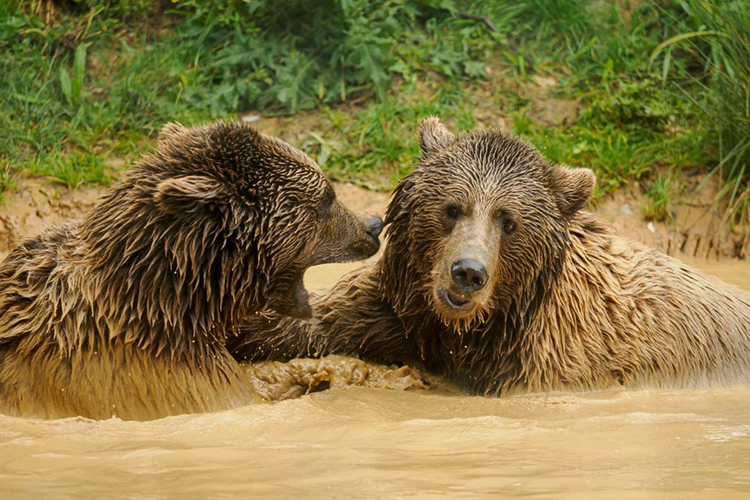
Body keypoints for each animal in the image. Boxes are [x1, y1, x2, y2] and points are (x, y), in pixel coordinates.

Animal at [230, 117, 750, 396]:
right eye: (451, 207)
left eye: (508, 220)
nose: (468, 272)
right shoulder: (394, 310)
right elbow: (313, 320)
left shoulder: (543, 363)